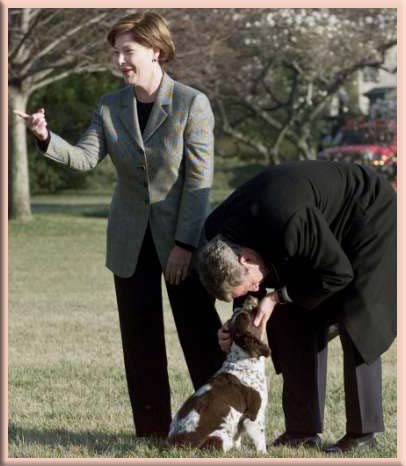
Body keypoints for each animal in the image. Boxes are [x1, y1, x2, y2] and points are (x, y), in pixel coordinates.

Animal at [167, 296, 270, 454]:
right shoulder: (254, 415)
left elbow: (238, 437)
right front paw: (265, 454)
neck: (243, 360)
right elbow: (260, 441)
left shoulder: (240, 420)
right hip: (220, 437)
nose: (248, 297)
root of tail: (174, 445)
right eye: (248, 316)